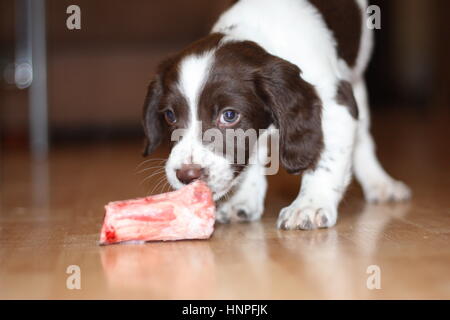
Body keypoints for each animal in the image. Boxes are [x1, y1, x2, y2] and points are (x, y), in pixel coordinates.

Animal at [142, 0, 412, 230]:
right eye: (170, 115)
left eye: (229, 116)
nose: (186, 176)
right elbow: (253, 153)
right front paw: (243, 200)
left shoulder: (337, 103)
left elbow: (326, 159)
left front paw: (310, 205)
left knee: (363, 136)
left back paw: (380, 183)